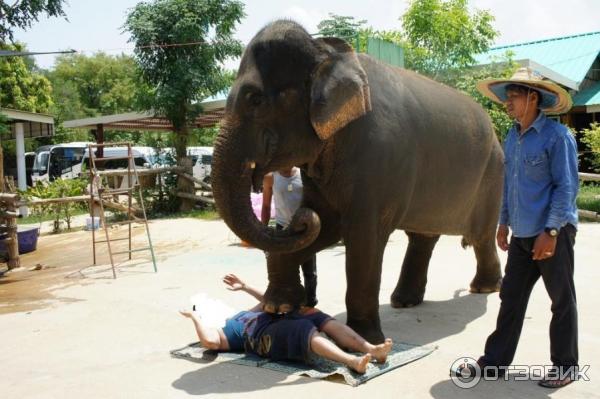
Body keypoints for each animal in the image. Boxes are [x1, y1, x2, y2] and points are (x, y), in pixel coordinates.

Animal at [213, 19, 504, 344]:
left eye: (255, 100)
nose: (296, 220)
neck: (325, 51)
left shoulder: (380, 156)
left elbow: (363, 234)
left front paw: (365, 339)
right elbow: (325, 223)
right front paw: (279, 306)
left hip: (493, 174)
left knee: (481, 235)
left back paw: (483, 288)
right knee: (423, 238)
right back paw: (404, 301)